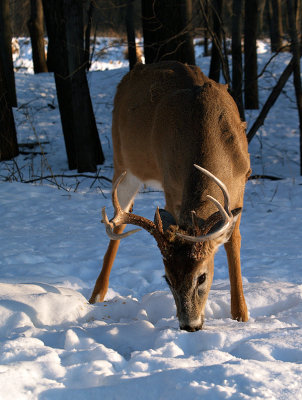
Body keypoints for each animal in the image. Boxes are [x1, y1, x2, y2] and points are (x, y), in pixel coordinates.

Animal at [89, 60, 250, 332]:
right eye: (167, 279)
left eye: (202, 277)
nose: (189, 325)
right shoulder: (171, 187)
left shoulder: (241, 185)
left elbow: (233, 241)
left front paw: (241, 315)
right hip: (124, 164)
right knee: (116, 224)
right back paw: (96, 296)